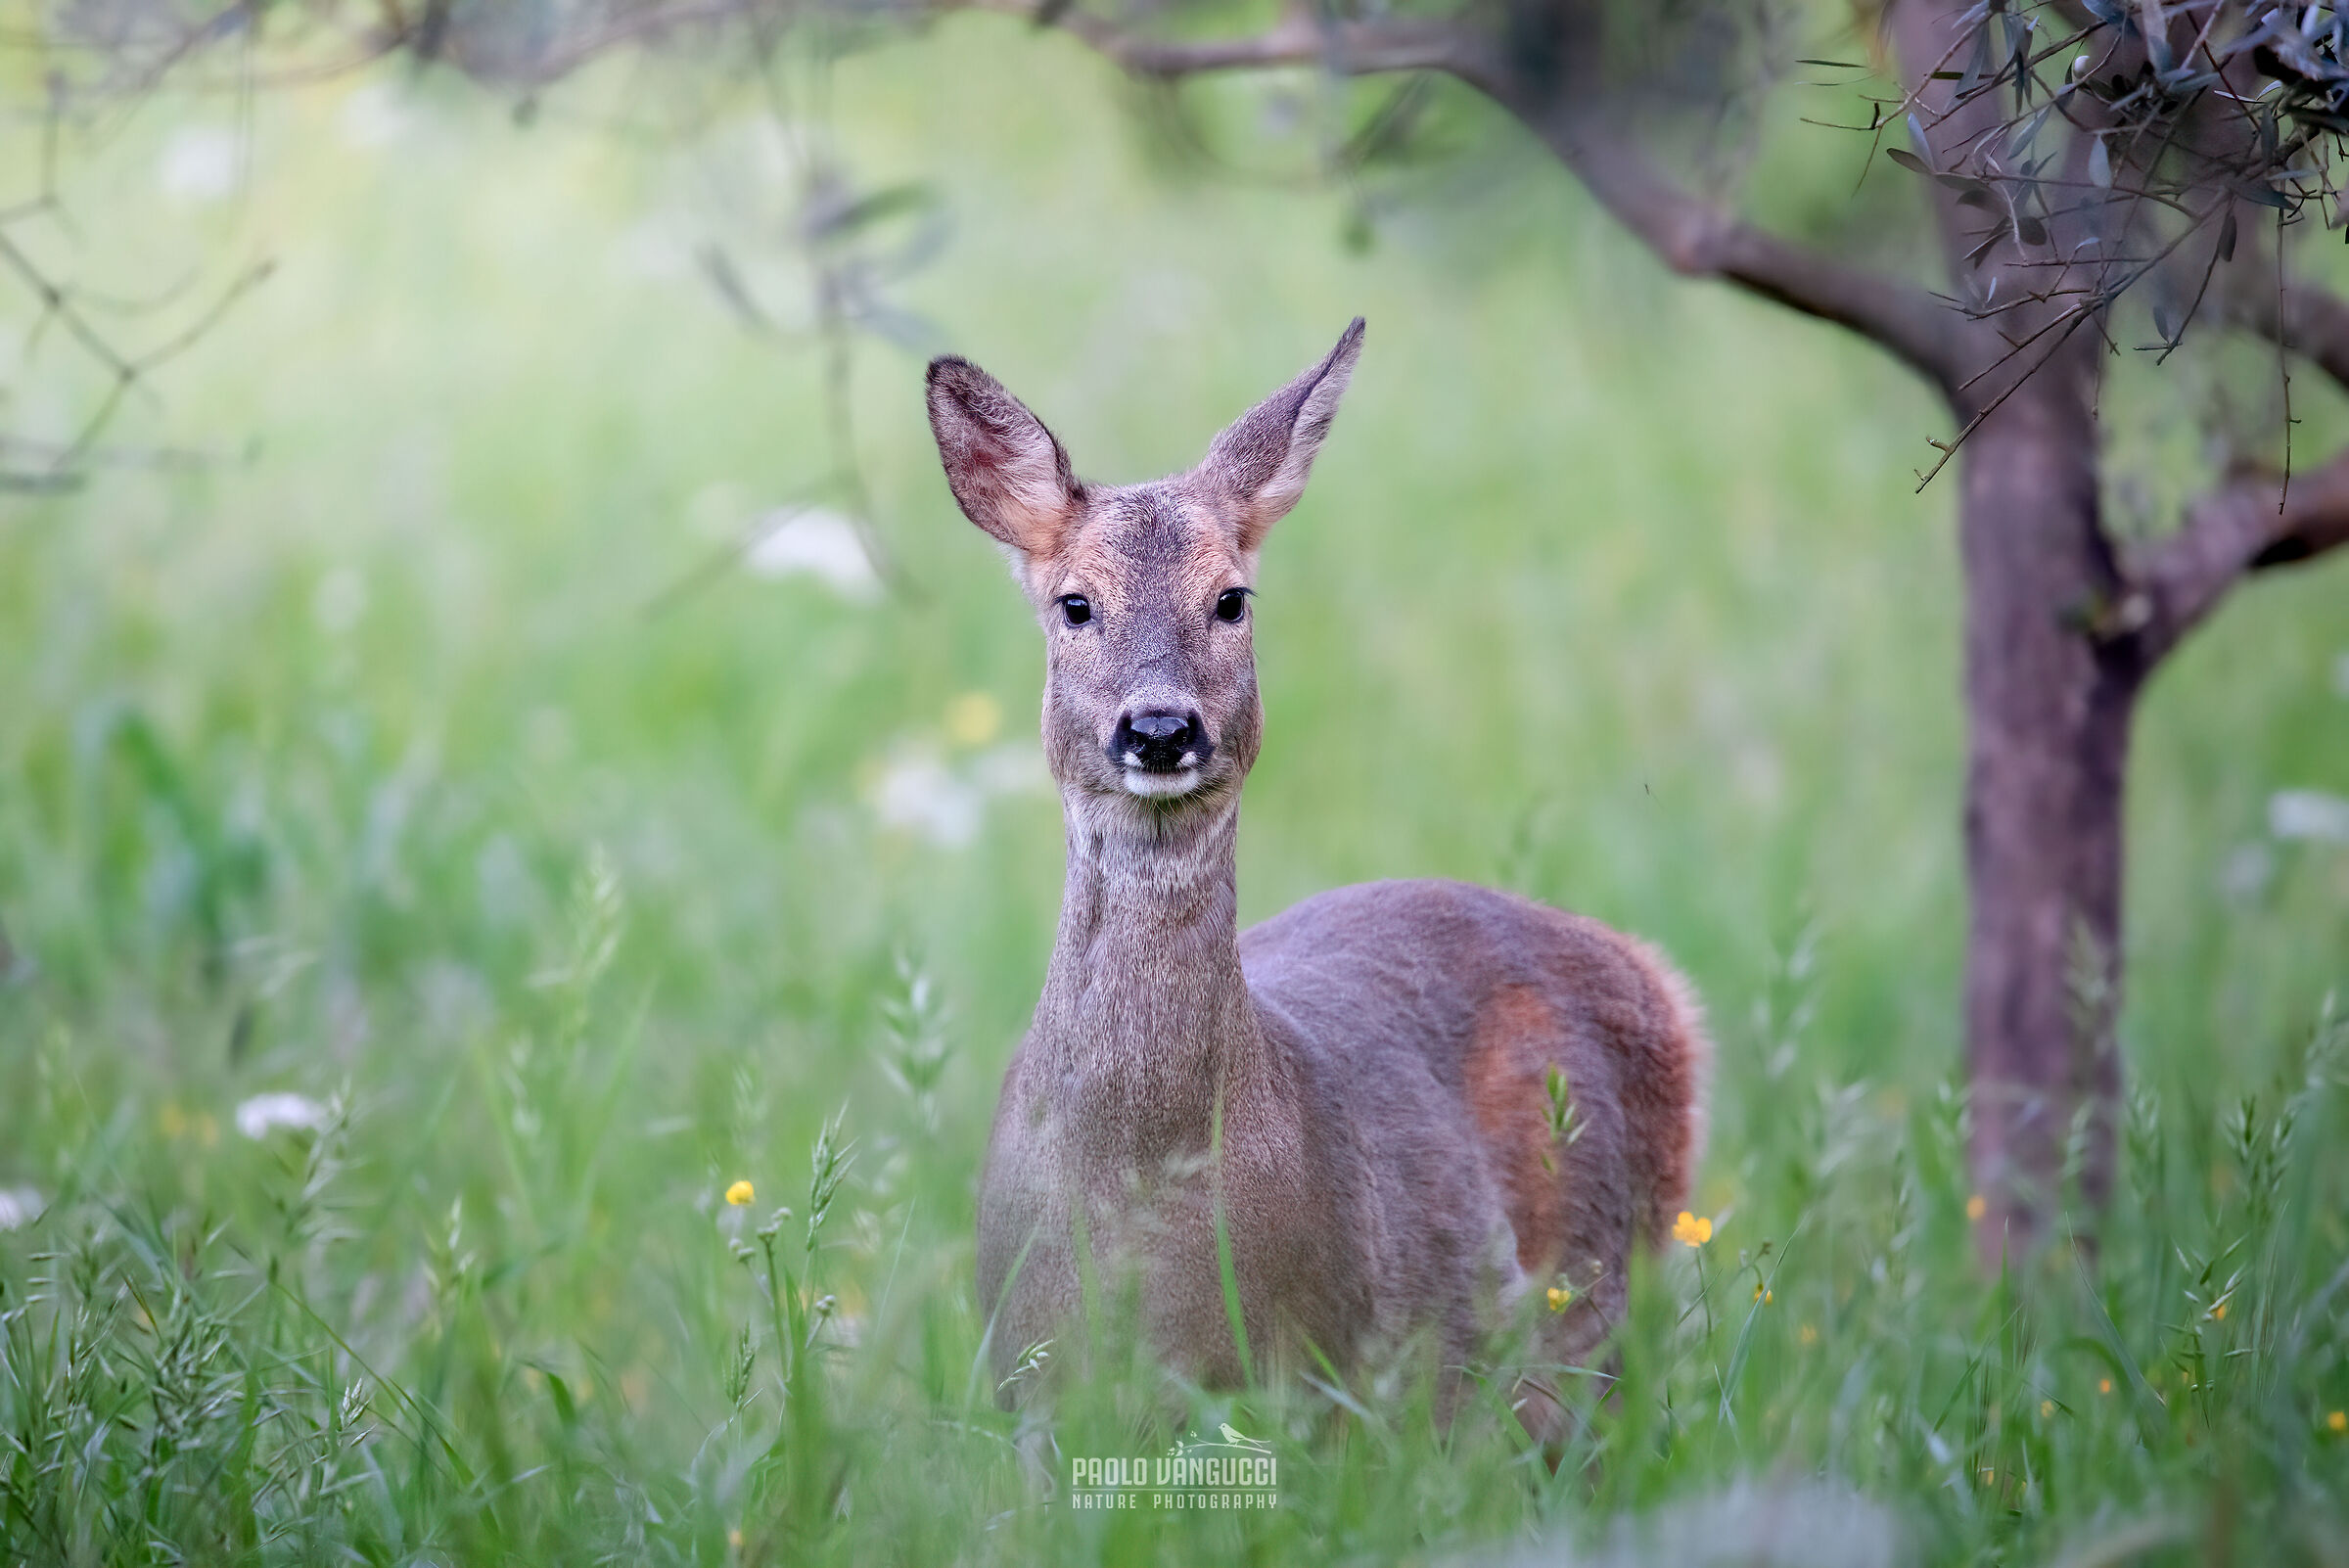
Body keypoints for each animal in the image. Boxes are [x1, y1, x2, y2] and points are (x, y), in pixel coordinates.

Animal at [924, 318, 1711, 1439]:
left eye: (1231, 599)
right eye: (1075, 604)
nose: (1159, 728)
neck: (1141, 1200)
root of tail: (1654, 977)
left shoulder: (1307, 1371)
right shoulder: (1029, 1382)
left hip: (1596, 1298)